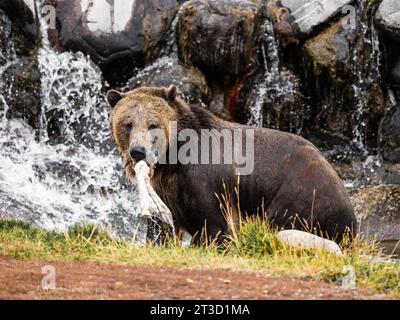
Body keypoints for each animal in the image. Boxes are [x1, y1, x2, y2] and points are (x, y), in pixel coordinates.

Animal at [107, 86, 356, 244]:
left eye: (153, 124)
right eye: (128, 123)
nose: (138, 151)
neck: (174, 160)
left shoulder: (208, 183)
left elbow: (214, 224)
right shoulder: (168, 191)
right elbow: (162, 227)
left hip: (299, 196)